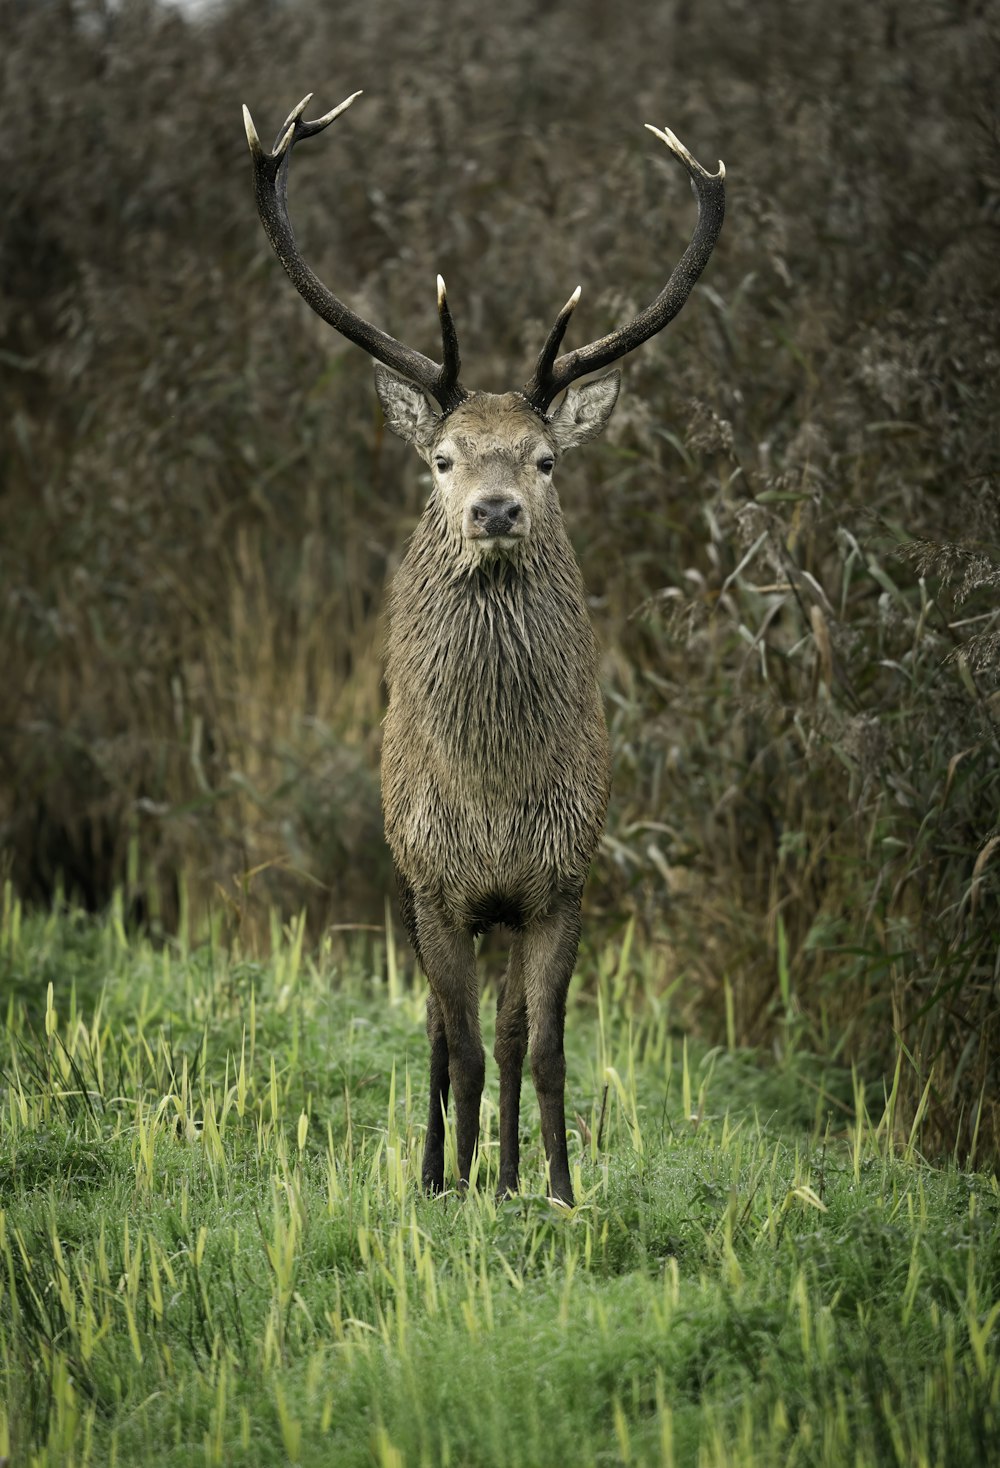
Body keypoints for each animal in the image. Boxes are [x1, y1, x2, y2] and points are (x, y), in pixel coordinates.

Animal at [242, 91, 725, 1203]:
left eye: (545, 459)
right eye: (442, 457)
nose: (495, 508)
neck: (497, 796)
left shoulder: (563, 880)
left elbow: (540, 1049)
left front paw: (553, 1191)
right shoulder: (433, 883)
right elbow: (454, 1047)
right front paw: (454, 1188)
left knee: (503, 1040)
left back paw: (502, 1175)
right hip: (414, 889)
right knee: (436, 1036)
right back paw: (439, 1171)